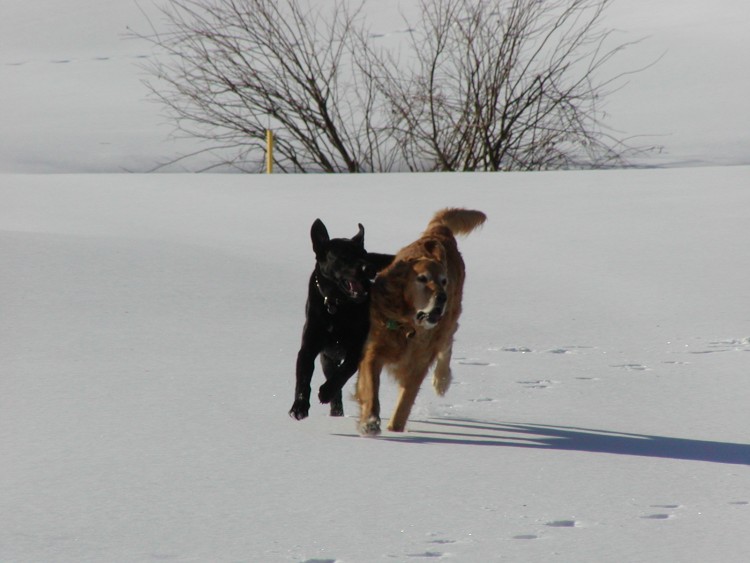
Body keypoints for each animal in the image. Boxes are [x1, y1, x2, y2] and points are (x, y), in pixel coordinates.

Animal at [290, 218, 394, 420]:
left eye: (364, 254)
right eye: (343, 256)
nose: (369, 268)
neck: (337, 305)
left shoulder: (357, 349)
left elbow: (344, 372)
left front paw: (325, 392)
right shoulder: (309, 348)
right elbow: (303, 378)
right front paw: (299, 407)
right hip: (327, 358)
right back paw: (336, 412)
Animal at [356, 209, 488, 434]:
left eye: (444, 281)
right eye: (422, 279)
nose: (443, 297)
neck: (407, 326)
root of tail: (439, 231)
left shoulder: (419, 363)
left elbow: (404, 403)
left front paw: (395, 429)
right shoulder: (373, 350)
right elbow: (371, 388)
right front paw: (370, 422)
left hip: (448, 322)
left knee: (447, 346)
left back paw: (442, 381)